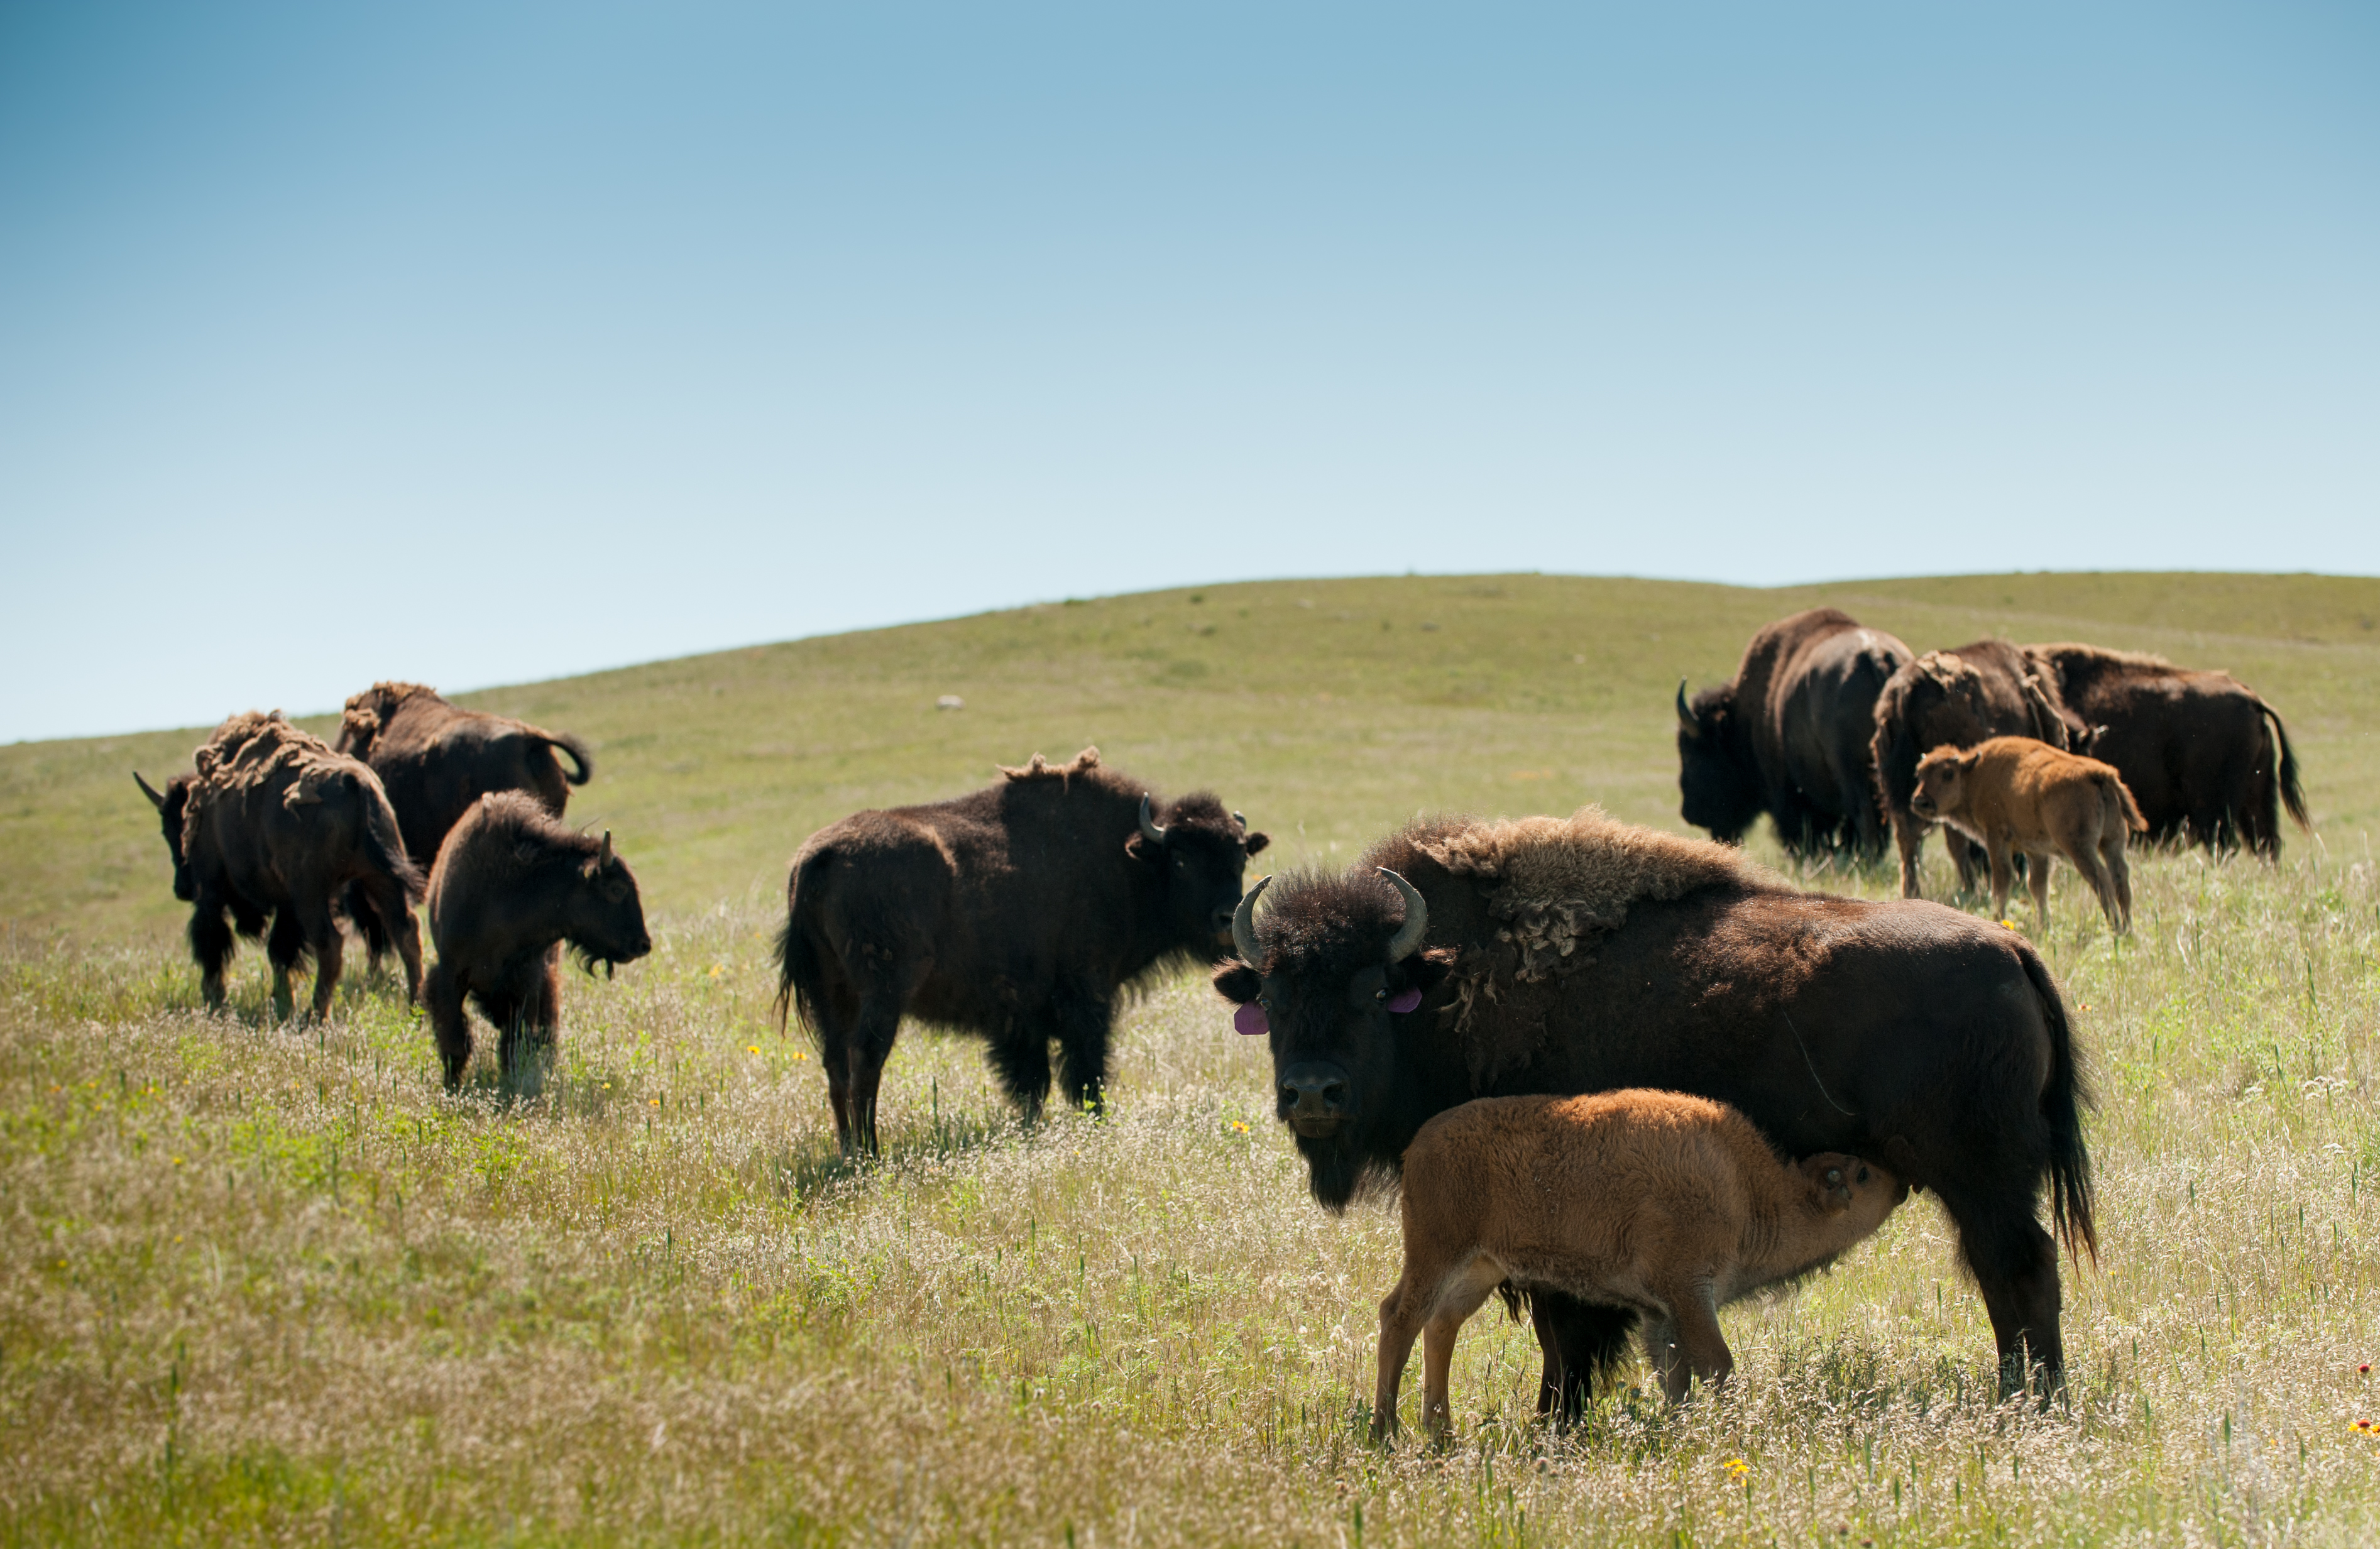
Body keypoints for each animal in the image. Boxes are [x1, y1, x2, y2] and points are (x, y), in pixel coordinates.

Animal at [135, 711, 424, 1021]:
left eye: (173, 829)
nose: (182, 889)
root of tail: (354, 782)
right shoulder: (286, 904)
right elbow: (280, 952)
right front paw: (282, 1003)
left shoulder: (212, 890)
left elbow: (213, 942)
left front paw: (215, 1000)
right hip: (380, 877)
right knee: (406, 931)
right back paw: (414, 1006)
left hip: (311, 894)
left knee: (330, 942)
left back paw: (315, 1017)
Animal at [774, 747, 1269, 1154]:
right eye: (1182, 859)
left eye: (1240, 856)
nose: (1226, 918)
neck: (1129, 861)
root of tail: (817, 857)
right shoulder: (1086, 996)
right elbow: (1086, 1070)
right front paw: (1095, 1121)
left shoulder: (1022, 1017)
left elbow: (1034, 1082)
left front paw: (1033, 1128)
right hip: (882, 994)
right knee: (865, 1059)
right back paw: (870, 1153)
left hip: (831, 993)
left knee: (835, 1062)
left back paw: (848, 1151)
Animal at [1215, 807, 2094, 1407]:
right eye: (1274, 998)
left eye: (1371, 993)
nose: (1312, 1093)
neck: (1448, 980)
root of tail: (2012, 949)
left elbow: (1565, 1334)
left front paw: (1553, 1420)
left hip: (1982, 1181)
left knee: (2017, 1269)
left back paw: (2031, 1398)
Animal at [1675, 609, 1911, 861]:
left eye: (1692, 756)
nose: (1689, 813)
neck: (1743, 717)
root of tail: (1875, 654)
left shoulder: (1788, 789)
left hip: (1853, 771)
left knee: (1864, 814)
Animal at [1870, 641, 2080, 897]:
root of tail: (1906, 690)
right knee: (1951, 839)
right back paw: (1969, 888)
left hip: (1901, 784)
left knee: (1909, 837)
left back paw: (1917, 891)